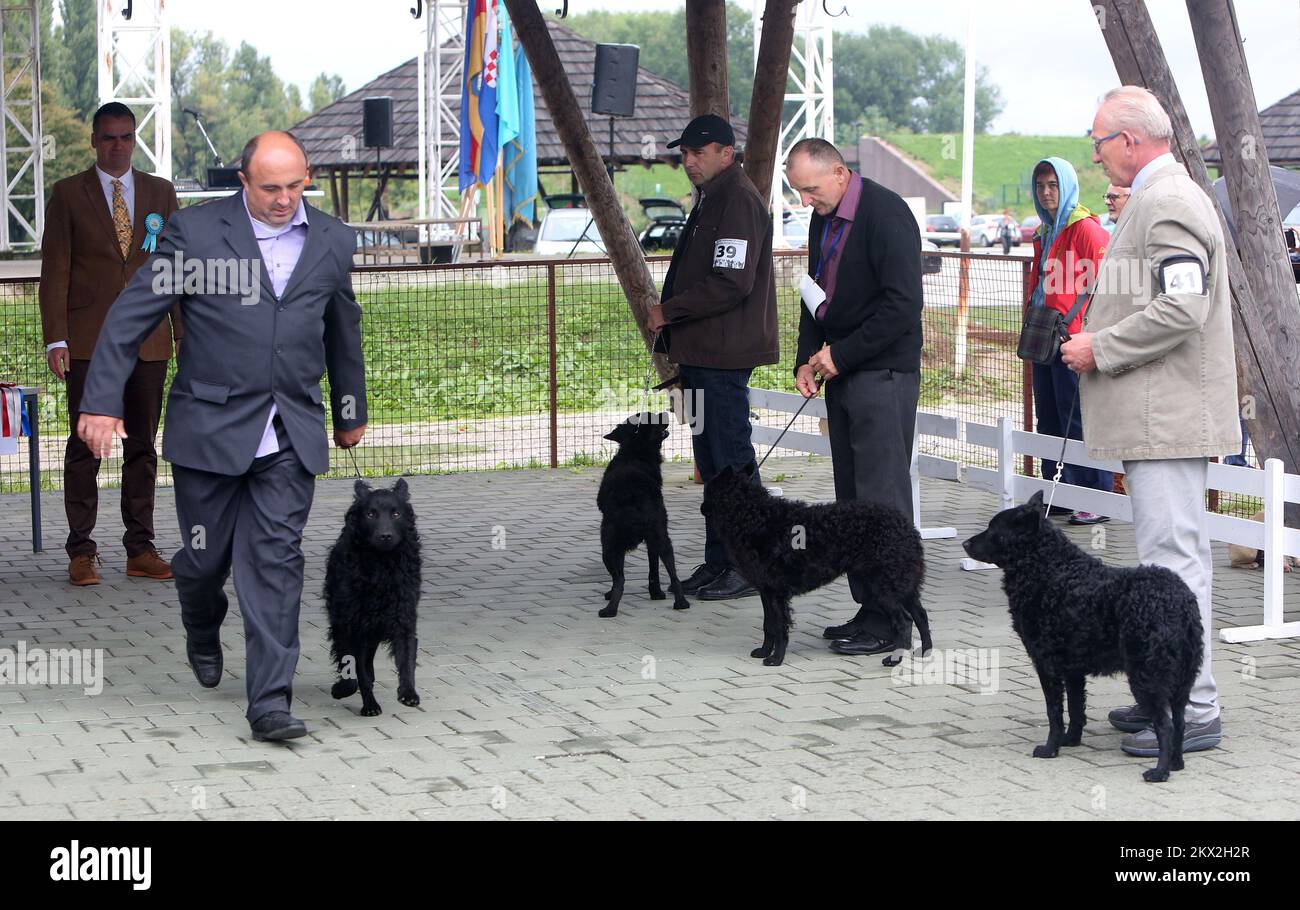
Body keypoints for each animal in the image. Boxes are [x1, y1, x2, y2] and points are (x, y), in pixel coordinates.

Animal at [323, 480, 421, 712]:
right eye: (370, 514)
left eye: (396, 514)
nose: (385, 536)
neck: (381, 564)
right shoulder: (355, 625)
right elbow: (357, 669)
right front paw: (368, 704)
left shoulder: (404, 618)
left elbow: (406, 660)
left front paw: (408, 693)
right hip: (341, 620)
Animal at [595, 413, 691, 618]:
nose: (665, 412)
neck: (634, 452)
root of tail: (635, 498)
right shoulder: (652, 540)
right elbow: (653, 567)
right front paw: (656, 593)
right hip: (661, 538)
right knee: (673, 575)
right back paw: (681, 602)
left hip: (607, 546)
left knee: (619, 580)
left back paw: (609, 609)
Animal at [707, 462, 930, 670]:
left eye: (708, 490)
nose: (702, 507)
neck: (756, 516)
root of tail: (907, 528)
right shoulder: (766, 591)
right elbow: (768, 625)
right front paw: (763, 651)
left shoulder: (776, 593)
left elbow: (779, 627)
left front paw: (776, 658)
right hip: (902, 584)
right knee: (920, 615)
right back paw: (926, 651)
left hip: (885, 587)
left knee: (904, 622)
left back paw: (895, 659)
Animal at [961, 491, 1201, 780]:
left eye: (993, 529)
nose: (964, 543)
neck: (1050, 569)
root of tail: (1179, 600)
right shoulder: (1073, 670)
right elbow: (1076, 709)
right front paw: (1070, 740)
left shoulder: (1047, 665)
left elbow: (1054, 713)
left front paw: (1050, 748)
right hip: (1183, 679)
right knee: (1180, 722)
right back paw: (1176, 763)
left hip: (1147, 676)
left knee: (1165, 726)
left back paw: (1159, 771)